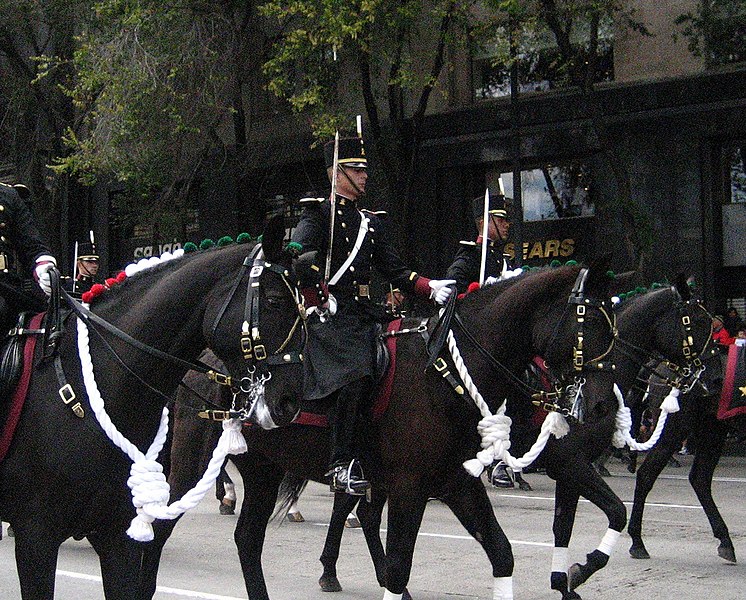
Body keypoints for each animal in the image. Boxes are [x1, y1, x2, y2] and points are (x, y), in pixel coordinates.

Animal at [140, 264, 616, 600]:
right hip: (194, 462)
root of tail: (203, 361)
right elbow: (399, 567)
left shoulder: (458, 484)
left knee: (247, 540)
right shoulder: (409, 488)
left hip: (264, 470)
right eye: (586, 324)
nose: (602, 406)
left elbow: (502, 552)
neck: (446, 374)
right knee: (162, 528)